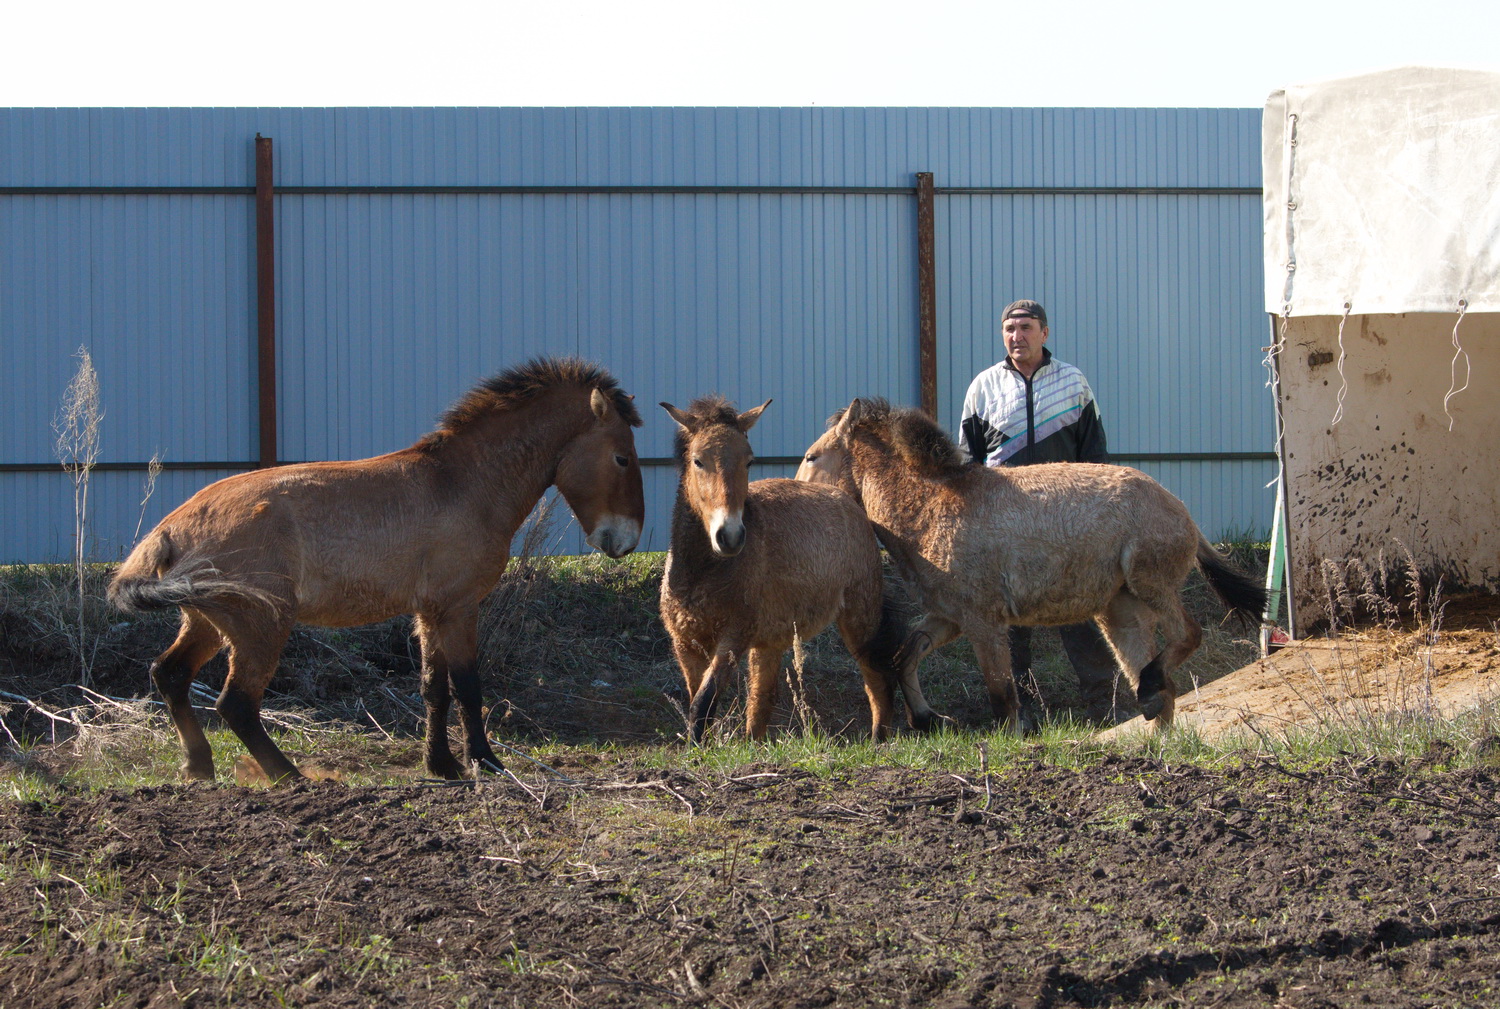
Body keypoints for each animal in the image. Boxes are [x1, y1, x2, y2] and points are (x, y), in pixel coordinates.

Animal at [105, 358, 645, 785]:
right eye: (622, 457)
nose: (626, 540)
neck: (462, 482)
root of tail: (172, 527)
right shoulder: (459, 609)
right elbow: (467, 687)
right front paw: (485, 761)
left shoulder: (429, 614)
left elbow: (433, 688)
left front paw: (441, 764)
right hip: (260, 629)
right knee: (235, 703)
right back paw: (288, 774)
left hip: (207, 623)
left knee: (170, 674)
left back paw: (199, 766)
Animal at [663, 392, 906, 740]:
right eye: (698, 460)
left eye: (749, 461)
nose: (730, 536)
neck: (702, 573)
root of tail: (842, 496)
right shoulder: (685, 645)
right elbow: (700, 701)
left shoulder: (732, 640)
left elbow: (703, 704)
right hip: (770, 642)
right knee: (761, 701)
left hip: (859, 619)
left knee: (877, 680)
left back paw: (878, 740)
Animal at [798, 395, 1266, 731]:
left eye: (811, 457)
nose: (796, 489)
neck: (933, 504)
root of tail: (1182, 511)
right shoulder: (948, 616)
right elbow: (905, 655)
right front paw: (926, 718)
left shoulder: (984, 623)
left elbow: (1002, 695)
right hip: (1121, 613)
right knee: (1160, 691)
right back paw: (1153, 720)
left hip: (1151, 585)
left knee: (1187, 636)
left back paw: (1151, 689)